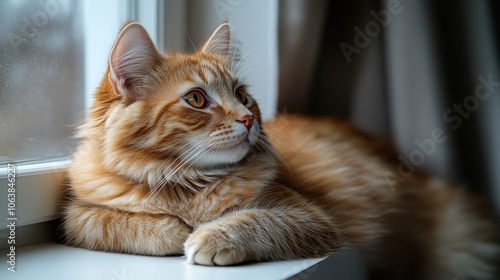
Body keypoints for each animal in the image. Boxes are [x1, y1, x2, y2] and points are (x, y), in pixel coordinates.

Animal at [60, 21, 498, 280]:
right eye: (197, 100)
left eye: (241, 95)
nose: (246, 119)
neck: (187, 185)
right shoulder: (78, 213)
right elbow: (112, 222)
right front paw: (174, 231)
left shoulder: (310, 218)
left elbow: (254, 220)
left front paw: (207, 236)